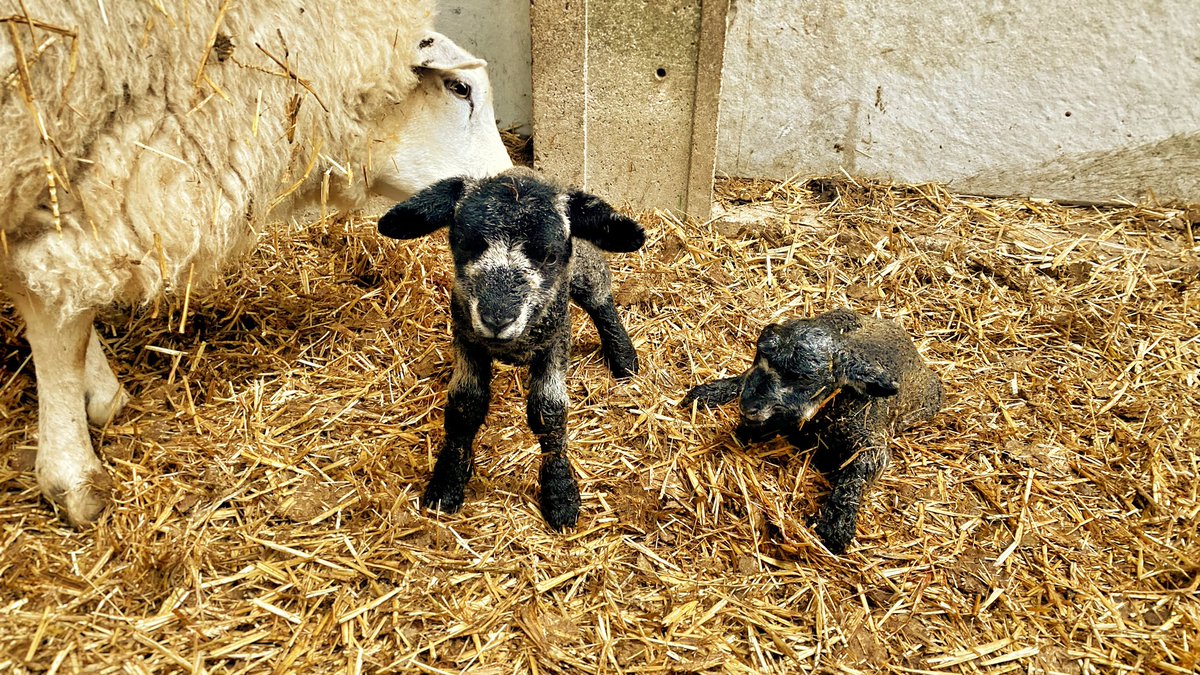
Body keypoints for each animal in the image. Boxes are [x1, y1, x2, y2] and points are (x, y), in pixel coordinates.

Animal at [376, 167, 645, 530]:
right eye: (465, 246)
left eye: (550, 256)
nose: (497, 318)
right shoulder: (467, 339)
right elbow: (465, 406)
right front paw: (447, 483)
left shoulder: (555, 341)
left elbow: (549, 411)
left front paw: (560, 495)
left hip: (584, 265)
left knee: (599, 295)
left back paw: (623, 356)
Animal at [683, 309, 943, 554]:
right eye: (760, 357)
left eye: (803, 379)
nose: (748, 405)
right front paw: (714, 393)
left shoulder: (871, 443)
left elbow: (858, 472)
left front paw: (836, 526)